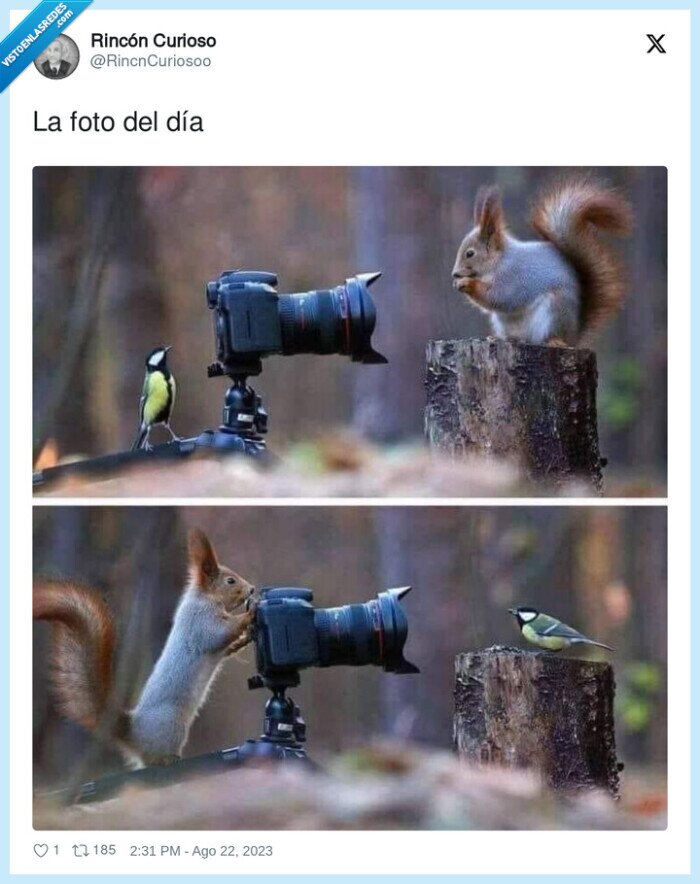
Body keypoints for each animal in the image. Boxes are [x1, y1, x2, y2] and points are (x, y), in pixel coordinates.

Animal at [33, 528, 256, 767]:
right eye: (230, 581)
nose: (252, 589)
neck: (205, 598)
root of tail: (134, 734)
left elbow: (225, 647)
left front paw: (244, 638)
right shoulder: (199, 621)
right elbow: (217, 634)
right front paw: (249, 614)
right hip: (172, 726)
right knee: (155, 759)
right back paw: (169, 759)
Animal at [451, 177, 632, 346]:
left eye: (470, 253)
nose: (455, 274)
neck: (498, 261)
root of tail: (573, 335)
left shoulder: (512, 276)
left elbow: (500, 297)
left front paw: (467, 283)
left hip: (554, 311)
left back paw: (554, 341)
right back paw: (501, 337)